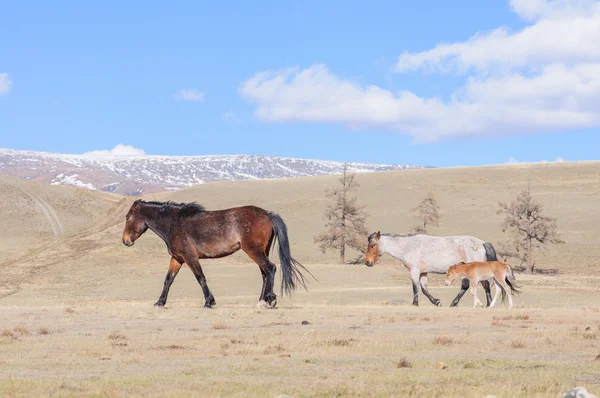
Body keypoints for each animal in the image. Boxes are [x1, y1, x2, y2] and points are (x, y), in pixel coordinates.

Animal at [120, 201, 310, 310]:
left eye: (128, 217)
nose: (125, 241)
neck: (175, 223)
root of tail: (267, 214)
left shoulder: (190, 258)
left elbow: (200, 278)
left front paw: (209, 302)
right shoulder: (178, 258)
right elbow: (168, 280)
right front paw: (160, 302)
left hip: (254, 251)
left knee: (270, 269)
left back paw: (269, 300)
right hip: (261, 251)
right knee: (265, 274)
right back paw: (261, 301)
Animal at [366, 232, 496, 306]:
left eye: (372, 245)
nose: (367, 262)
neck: (408, 246)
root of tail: (482, 243)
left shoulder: (414, 270)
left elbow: (415, 287)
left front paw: (415, 304)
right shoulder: (423, 272)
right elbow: (424, 289)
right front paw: (436, 302)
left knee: (482, 285)